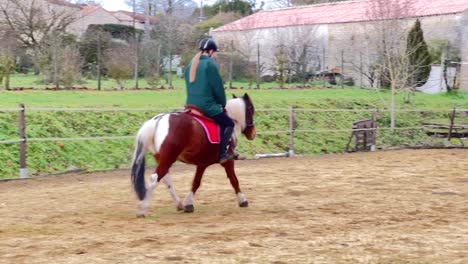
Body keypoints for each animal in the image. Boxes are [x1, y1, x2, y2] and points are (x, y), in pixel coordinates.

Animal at [130, 93, 258, 217]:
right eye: (251, 109)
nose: (253, 133)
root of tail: (158, 120)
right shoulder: (225, 160)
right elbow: (232, 180)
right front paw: (243, 200)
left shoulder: (203, 163)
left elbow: (196, 181)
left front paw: (188, 204)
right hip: (168, 158)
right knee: (155, 179)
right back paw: (142, 208)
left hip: (162, 159)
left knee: (166, 179)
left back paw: (179, 205)